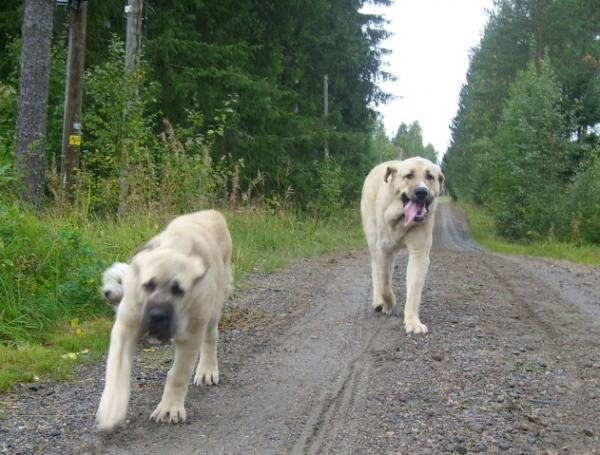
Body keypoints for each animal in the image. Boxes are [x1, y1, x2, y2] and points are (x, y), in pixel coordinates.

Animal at [95, 210, 232, 434]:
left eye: (178, 290)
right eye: (148, 285)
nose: (157, 315)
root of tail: (211, 212)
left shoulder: (191, 334)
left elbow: (178, 374)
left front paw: (169, 409)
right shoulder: (125, 325)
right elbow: (117, 371)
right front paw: (111, 410)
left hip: (212, 308)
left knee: (211, 337)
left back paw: (207, 370)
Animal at [358, 158, 442, 334]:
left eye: (430, 176)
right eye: (409, 175)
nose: (421, 192)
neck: (401, 218)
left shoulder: (419, 254)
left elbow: (414, 290)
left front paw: (413, 322)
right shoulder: (383, 249)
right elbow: (384, 284)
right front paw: (388, 304)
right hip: (373, 237)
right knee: (377, 271)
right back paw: (378, 301)